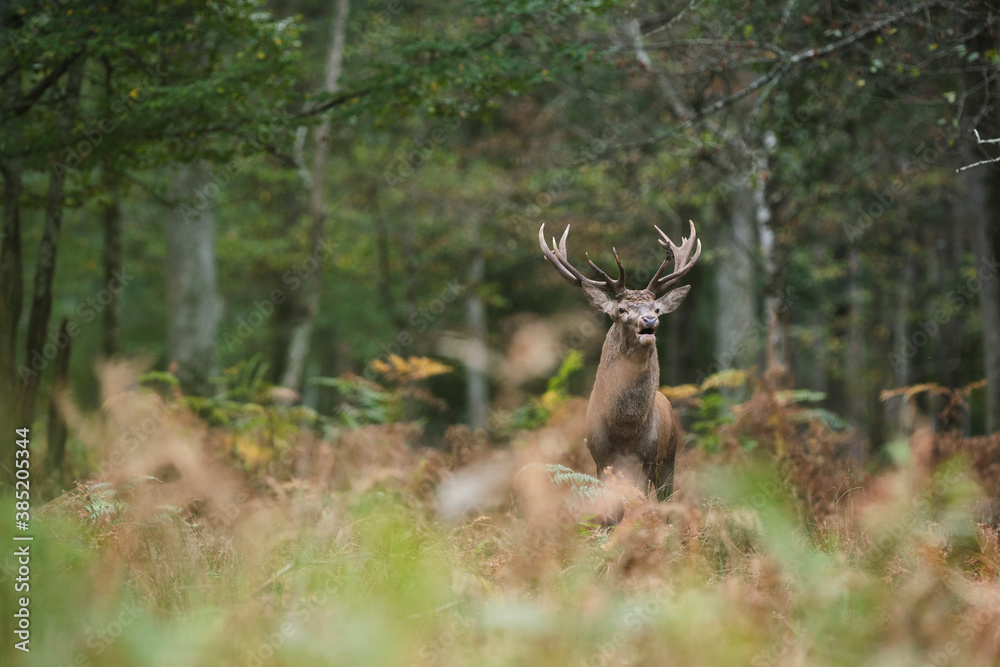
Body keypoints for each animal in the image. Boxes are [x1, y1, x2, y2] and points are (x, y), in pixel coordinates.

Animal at [540, 222, 704, 504]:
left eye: (657, 309)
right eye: (621, 310)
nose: (650, 321)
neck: (625, 430)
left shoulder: (648, 458)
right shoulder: (599, 458)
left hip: (670, 457)